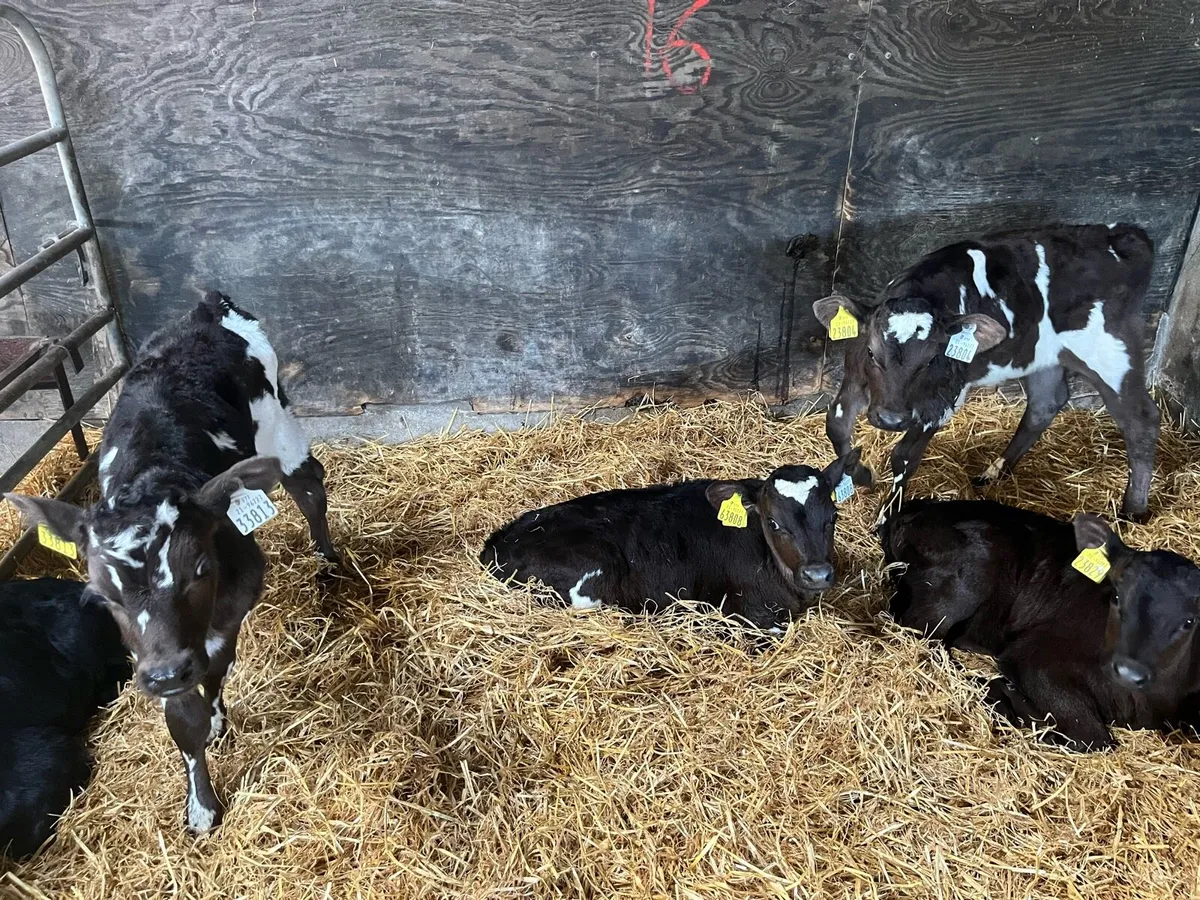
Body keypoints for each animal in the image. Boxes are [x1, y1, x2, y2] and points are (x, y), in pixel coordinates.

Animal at [4, 292, 338, 835]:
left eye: (200, 569)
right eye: (103, 595)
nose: (165, 675)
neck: (150, 474)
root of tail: (208, 307)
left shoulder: (229, 608)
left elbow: (216, 669)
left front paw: (217, 723)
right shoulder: (153, 652)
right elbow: (184, 721)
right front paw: (200, 803)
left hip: (279, 428)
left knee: (309, 483)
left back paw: (329, 557)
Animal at [813, 223, 1159, 520]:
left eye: (931, 360)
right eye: (872, 353)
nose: (891, 420)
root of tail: (1120, 234)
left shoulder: (943, 399)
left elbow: (904, 456)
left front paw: (885, 516)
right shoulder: (854, 379)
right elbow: (836, 426)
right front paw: (860, 474)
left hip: (1112, 352)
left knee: (1141, 418)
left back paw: (1133, 510)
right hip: (1042, 354)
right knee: (1046, 403)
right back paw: (995, 472)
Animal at [882, 498, 1200, 750]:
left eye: (1190, 620)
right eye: (1117, 596)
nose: (1129, 671)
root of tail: (910, 509)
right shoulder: (1034, 657)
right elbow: (1092, 736)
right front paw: (1004, 694)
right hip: (973, 573)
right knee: (921, 633)